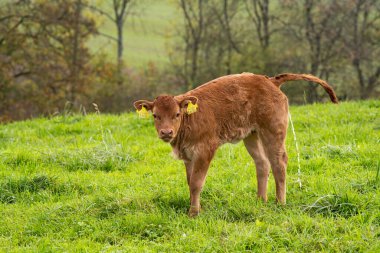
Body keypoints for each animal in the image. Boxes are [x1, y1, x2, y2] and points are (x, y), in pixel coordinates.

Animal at [134, 72, 338, 216]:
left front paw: (194, 213)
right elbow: (189, 181)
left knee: (279, 162)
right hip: (251, 135)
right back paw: (260, 200)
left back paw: (280, 203)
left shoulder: (205, 150)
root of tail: (269, 80)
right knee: (262, 163)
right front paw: (193, 208)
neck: (189, 119)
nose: (166, 132)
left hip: (273, 132)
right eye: (155, 115)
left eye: (177, 114)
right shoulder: (188, 155)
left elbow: (197, 183)